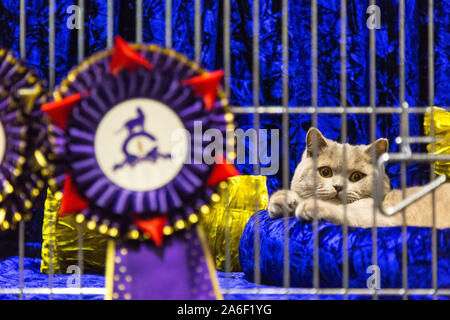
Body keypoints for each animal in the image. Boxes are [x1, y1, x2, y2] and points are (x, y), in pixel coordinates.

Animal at [268, 126, 450, 229]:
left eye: (356, 176)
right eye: (325, 172)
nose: (338, 187)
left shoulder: (386, 218)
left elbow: (347, 213)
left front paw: (310, 206)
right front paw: (283, 200)